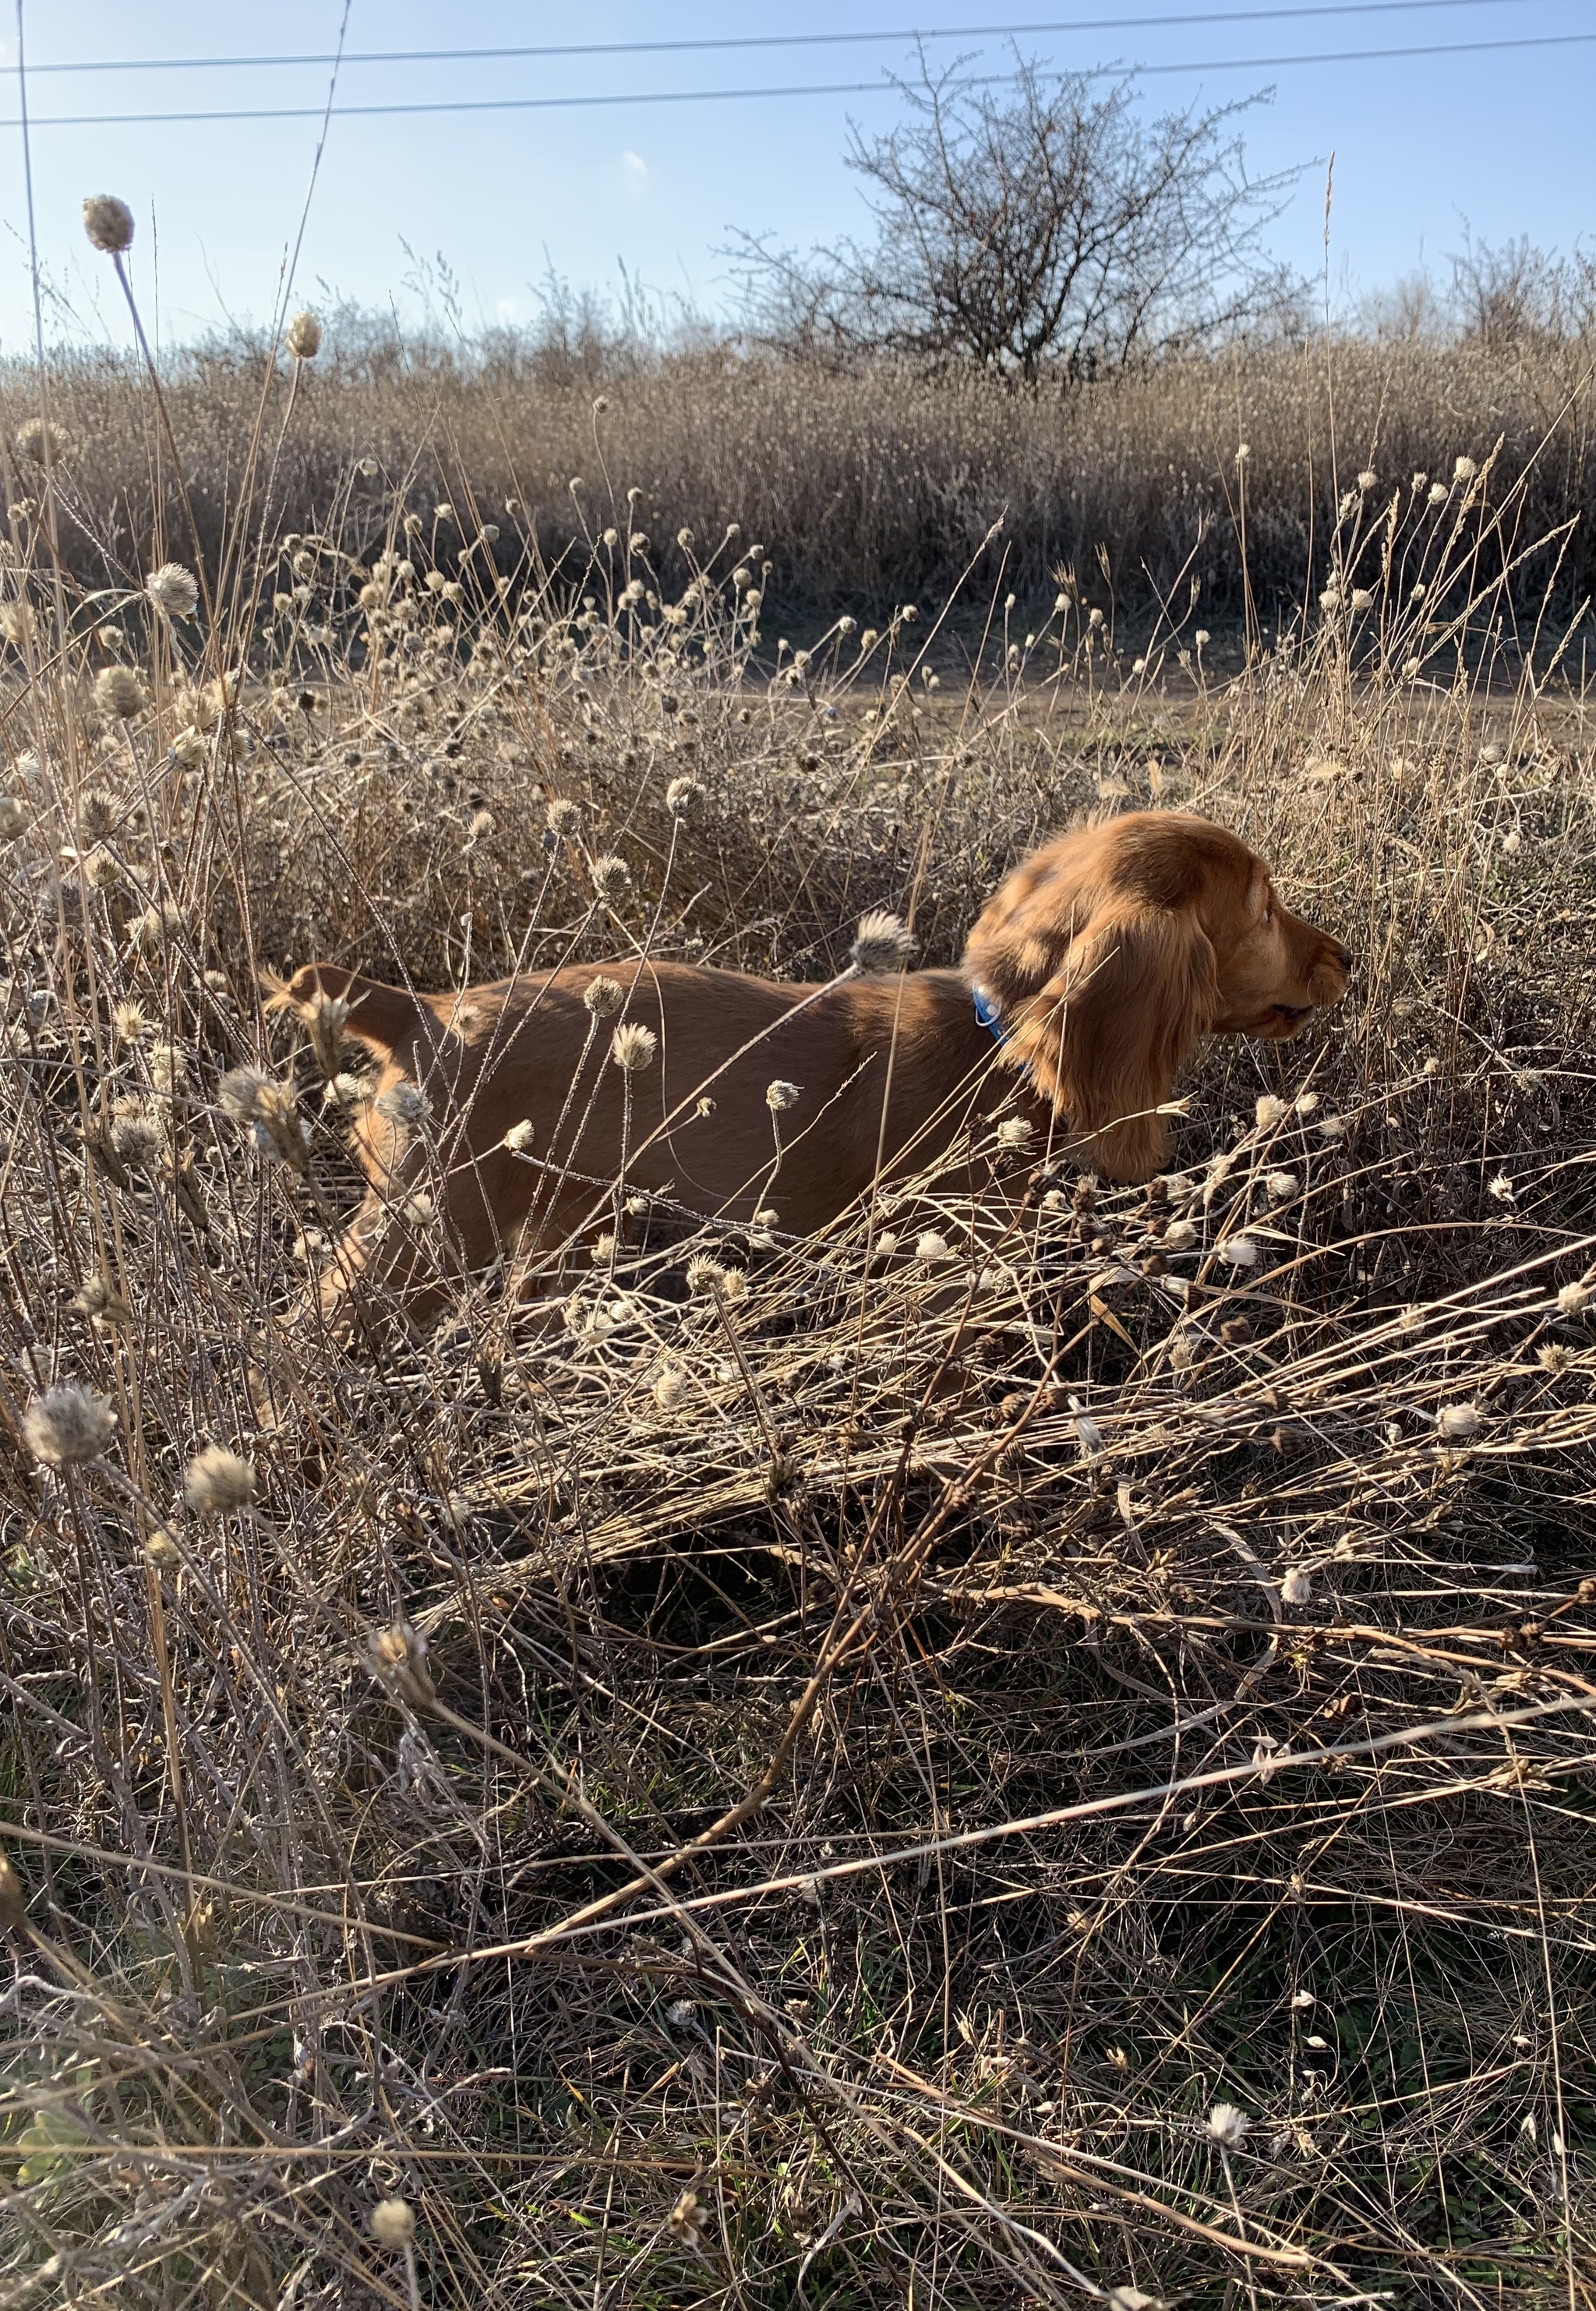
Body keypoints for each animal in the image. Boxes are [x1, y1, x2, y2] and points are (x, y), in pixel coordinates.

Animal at [262, 818, 1348, 1340]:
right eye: (1261, 908)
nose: (1346, 958)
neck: (995, 1038)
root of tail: (419, 1009)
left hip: (553, 1235)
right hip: (418, 1237)